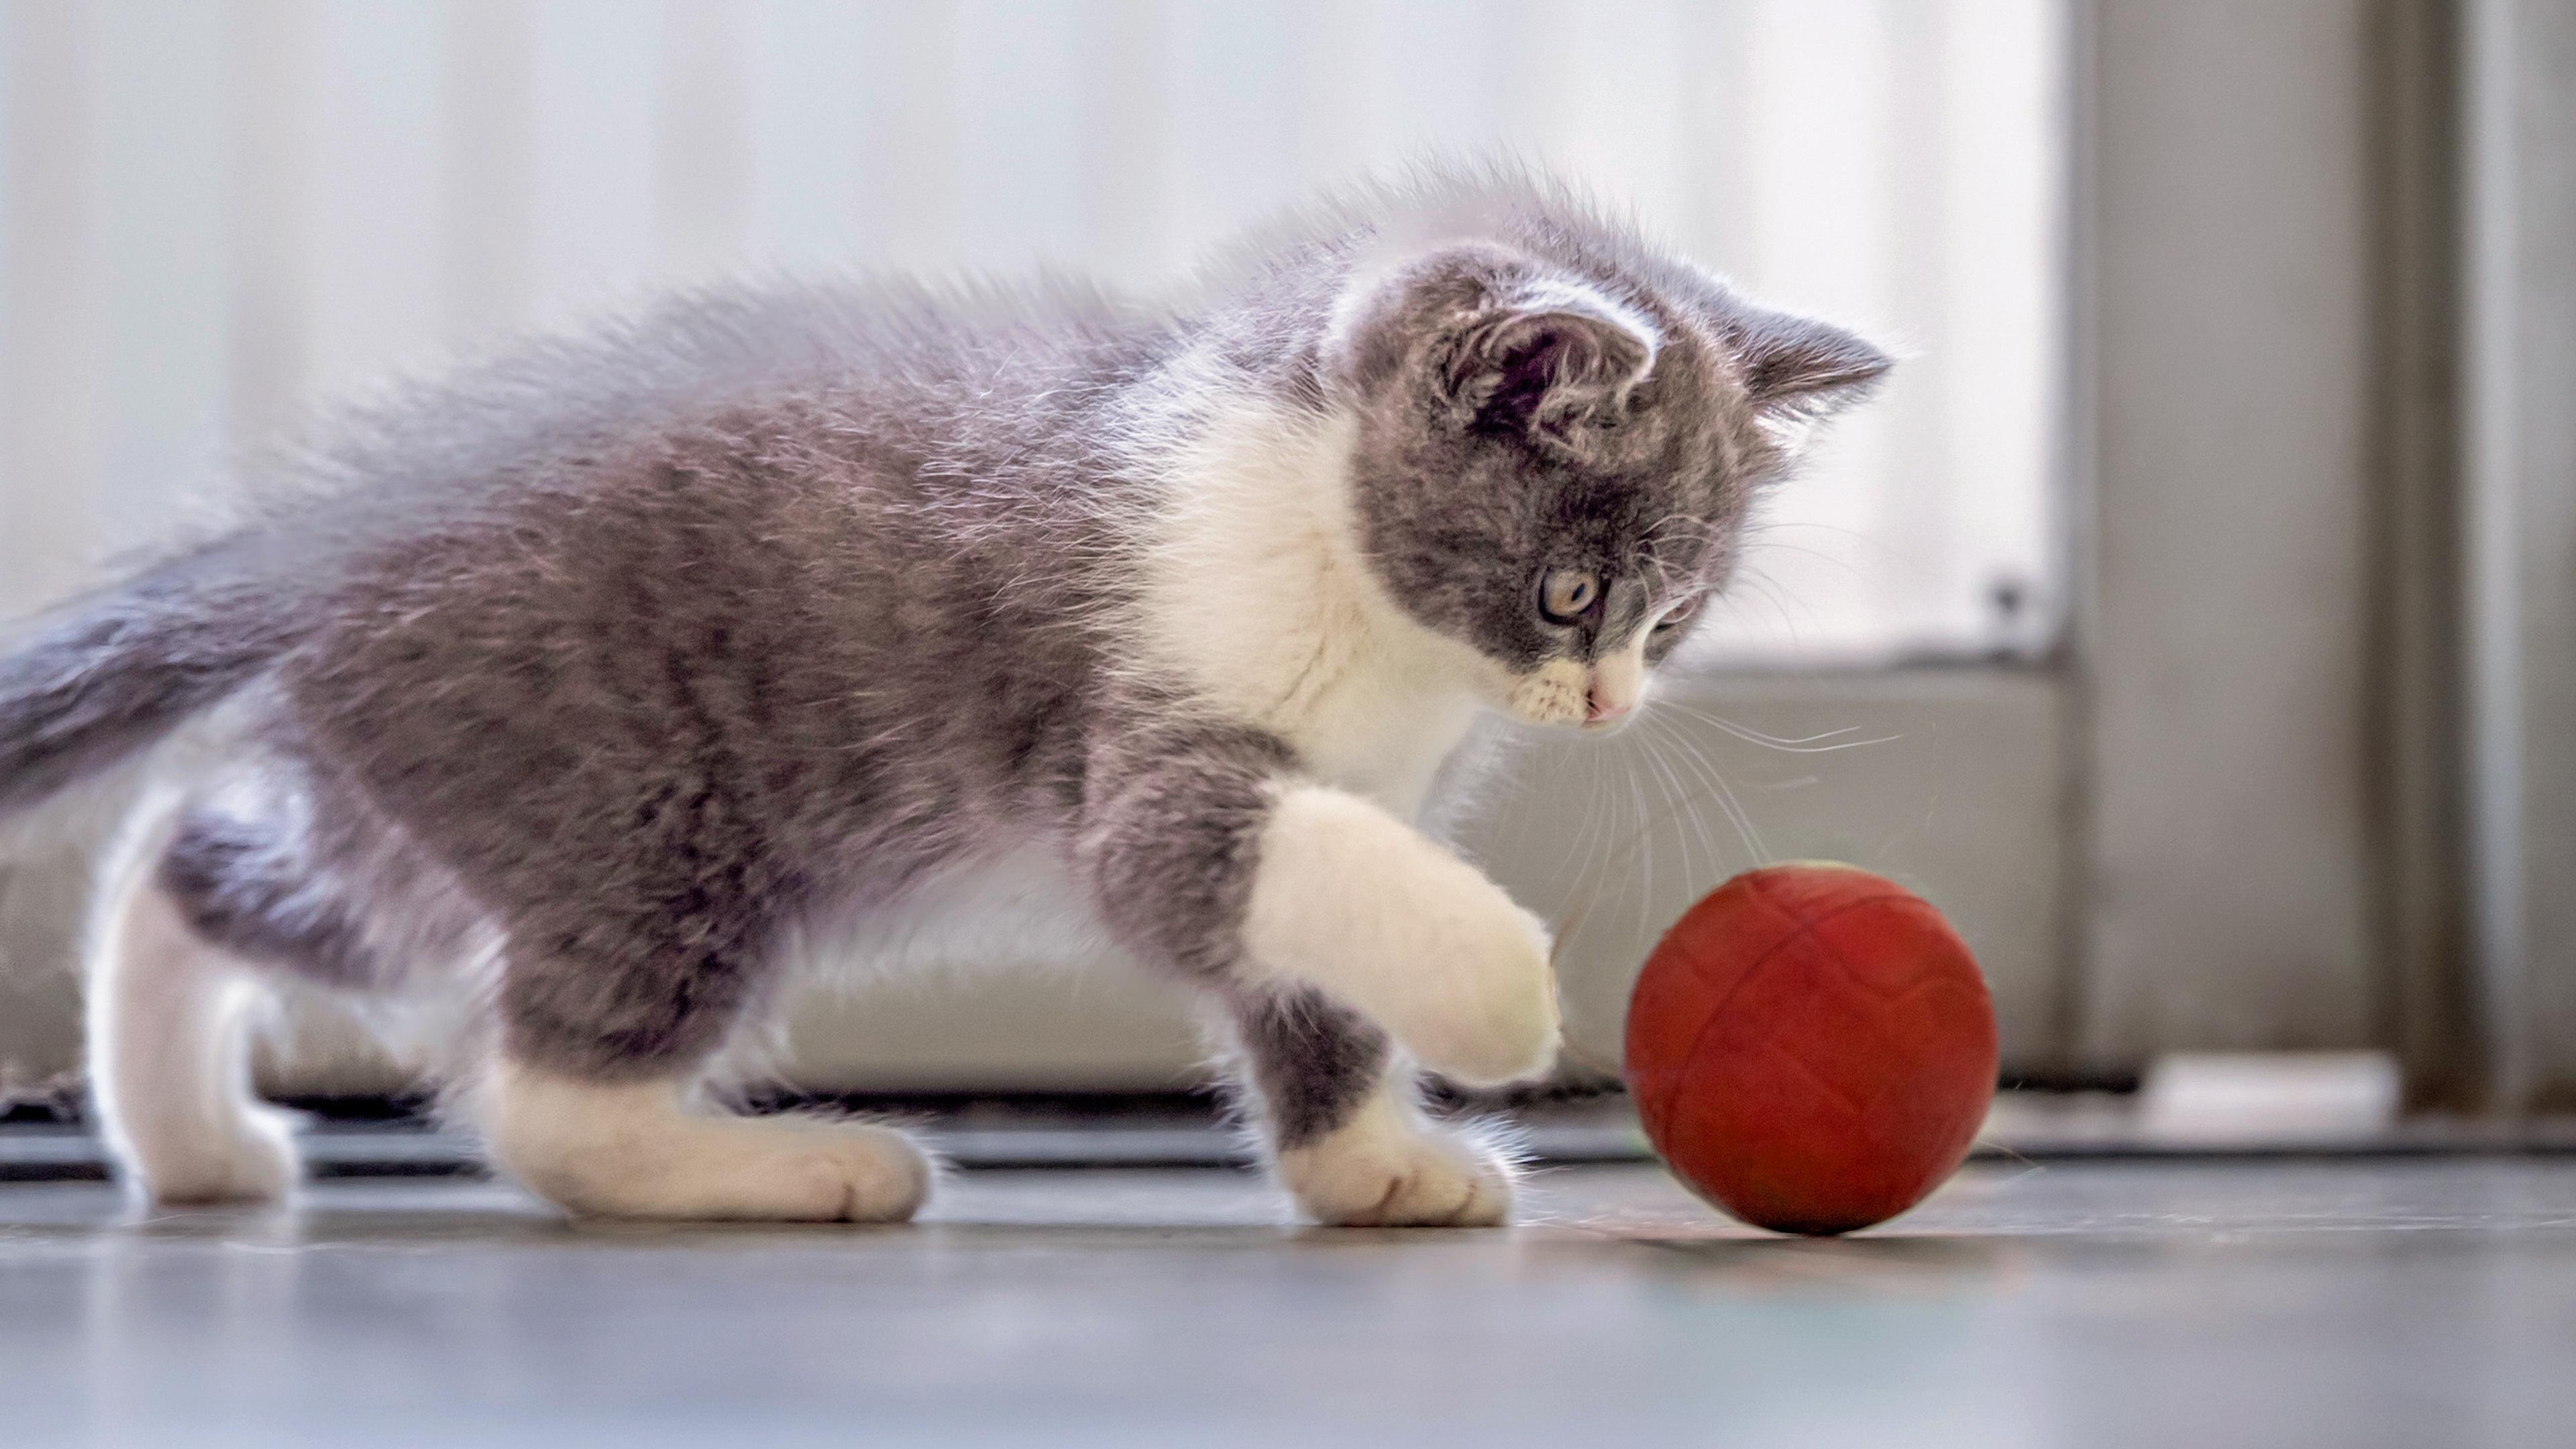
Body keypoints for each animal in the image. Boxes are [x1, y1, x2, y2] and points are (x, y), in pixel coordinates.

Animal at [0, 166, 1885, 1217]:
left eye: (1675, 617)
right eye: (1572, 592)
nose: (1605, 707)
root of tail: (327, 539)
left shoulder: (1336, 787)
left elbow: (1304, 971)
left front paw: (1370, 1166)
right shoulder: (1155, 753)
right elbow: (1238, 878)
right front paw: (1496, 999)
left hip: (443, 799)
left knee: (199, 860)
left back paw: (188, 1144)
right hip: (640, 805)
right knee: (541, 1099)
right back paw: (793, 1169)